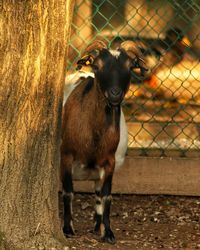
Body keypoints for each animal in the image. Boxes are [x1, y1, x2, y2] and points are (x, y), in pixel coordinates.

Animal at [61, 40, 147, 243]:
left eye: (129, 66)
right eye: (97, 65)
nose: (115, 93)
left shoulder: (110, 162)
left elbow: (106, 196)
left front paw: (107, 232)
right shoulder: (66, 156)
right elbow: (68, 192)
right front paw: (68, 229)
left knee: (98, 195)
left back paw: (96, 225)